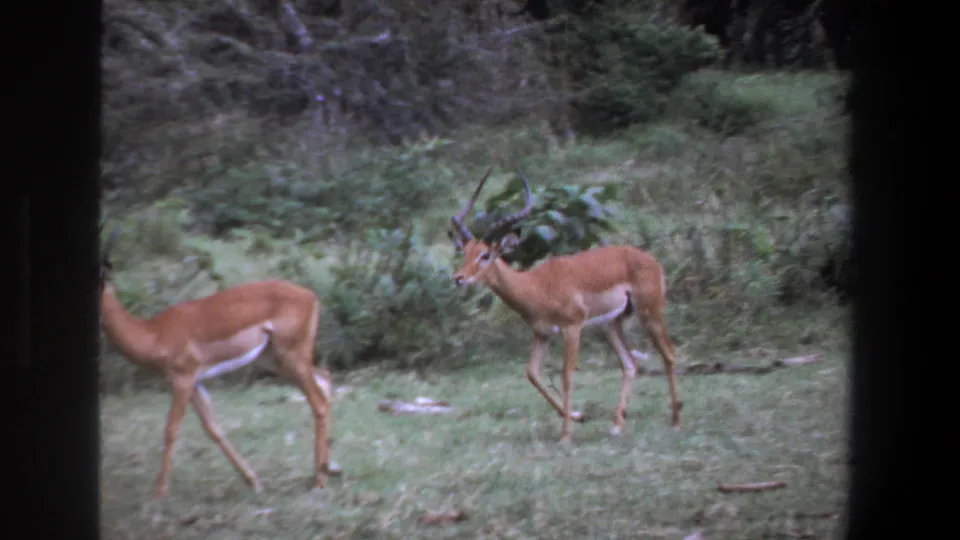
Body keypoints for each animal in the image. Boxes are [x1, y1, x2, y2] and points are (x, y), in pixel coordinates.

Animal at [98, 226, 336, 499]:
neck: (154, 333)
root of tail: (311, 296)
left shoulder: (182, 379)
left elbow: (171, 429)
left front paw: (159, 493)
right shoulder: (195, 383)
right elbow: (214, 429)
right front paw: (253, 482)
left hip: (291, 357)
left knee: (318, 402)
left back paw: (319, 482)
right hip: (275, 359)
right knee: (325, 378)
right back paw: (324, 471)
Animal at [447, 168, 682, 442]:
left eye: (485, 255)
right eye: (465, 253)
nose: (459, 278)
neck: (536, 285)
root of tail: (651, 260)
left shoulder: (572, 328)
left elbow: (566, 375)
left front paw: (566, 435)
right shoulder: (542, 334)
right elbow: (532, 373)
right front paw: (578, 416)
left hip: (649, 313)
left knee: (669, 354)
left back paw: (676, 422)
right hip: (611, 324)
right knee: (630, 364)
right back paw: (617, 426)